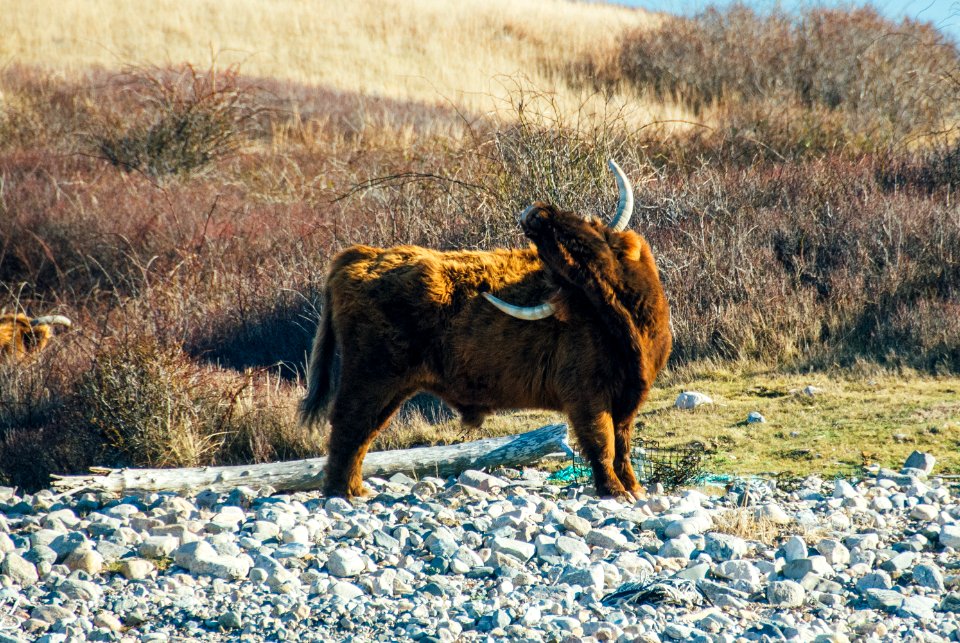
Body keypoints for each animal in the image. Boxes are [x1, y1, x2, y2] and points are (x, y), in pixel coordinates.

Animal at [304, 162, 672, 504]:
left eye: (584, 233)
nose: (535, 214)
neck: (626, 326)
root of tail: (362, 255)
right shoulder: (586, 395)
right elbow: (602, 442)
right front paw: (614, 491)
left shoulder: (628, 395)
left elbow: (622, 443)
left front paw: (634, 488)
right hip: (371, 376)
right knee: (349, 425)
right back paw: (342, 492)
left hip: (389, 386)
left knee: (363, 431)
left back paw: (354, 489)